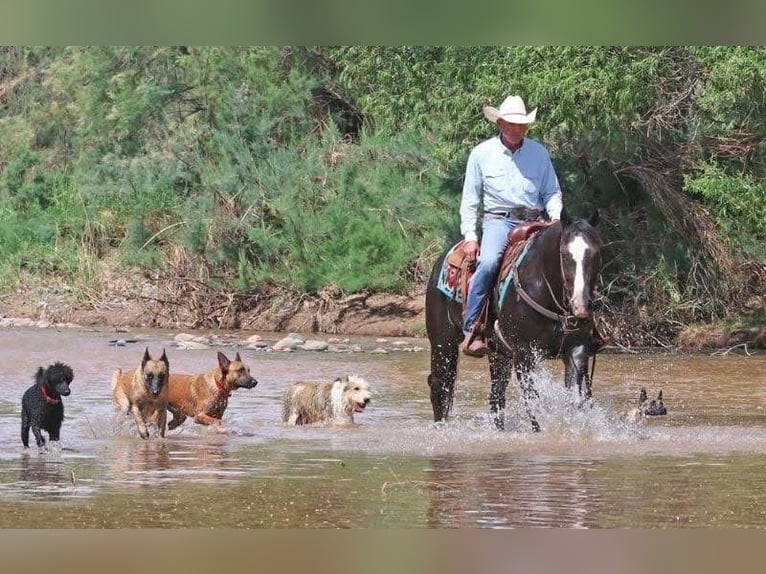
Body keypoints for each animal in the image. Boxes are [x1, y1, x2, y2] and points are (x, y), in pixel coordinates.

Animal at [425, 213, 602, 432]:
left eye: (596, 253)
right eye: (564, 253)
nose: (580, 306)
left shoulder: (576, 349)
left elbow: (574, 399)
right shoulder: (524, 354)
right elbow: (533, 401)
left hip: (498, 354)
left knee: (496, 397)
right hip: (443, 343)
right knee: (440, 385)